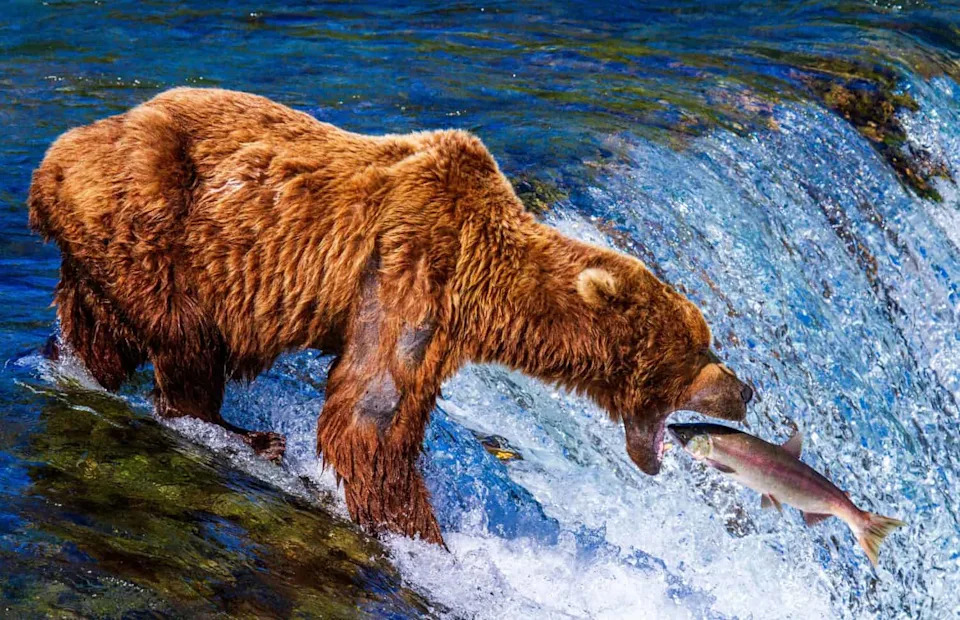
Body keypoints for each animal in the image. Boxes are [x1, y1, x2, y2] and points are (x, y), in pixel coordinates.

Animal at [28, 88, 753, 544]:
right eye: (701, 347)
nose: (746, 390)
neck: (487, 289)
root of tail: (58, 152)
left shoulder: (441, 319)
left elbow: (389, 413)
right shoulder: (413, 263)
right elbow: (369, 415)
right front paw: (427, 538)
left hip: (108, 247)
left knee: (102, 326)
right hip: (152, 218)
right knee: (187, 343)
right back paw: (242, 433)